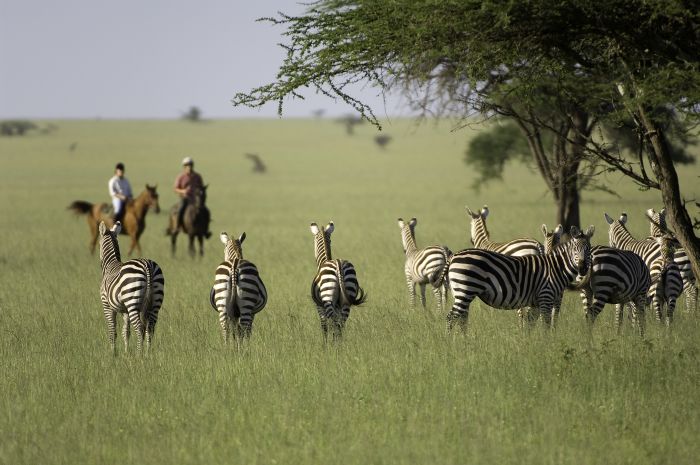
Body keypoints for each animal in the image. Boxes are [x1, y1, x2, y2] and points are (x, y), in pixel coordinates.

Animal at [98, 220, 165, 352]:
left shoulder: (107, 305)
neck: (110, 265)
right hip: (155, 303)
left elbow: (112, 331)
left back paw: (139, 354)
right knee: (150, 328)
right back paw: (148, 353)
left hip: (132, 301)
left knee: (139, 328)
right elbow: (126, 332)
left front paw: (113, 353)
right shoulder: (125, 311)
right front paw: (126, 352)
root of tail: (147, 265)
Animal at [446, 225, 592, 330]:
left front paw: (530, 344)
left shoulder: (537, 302)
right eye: (575, 249)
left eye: (589, 249)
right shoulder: (546, 296)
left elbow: (532, 324)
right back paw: (450, 343)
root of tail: (454, 256)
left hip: (461, 292)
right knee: (450, 317)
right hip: (465, 291)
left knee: (461, 318)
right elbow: (545, 325)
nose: (583, 268)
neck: (556, 267)